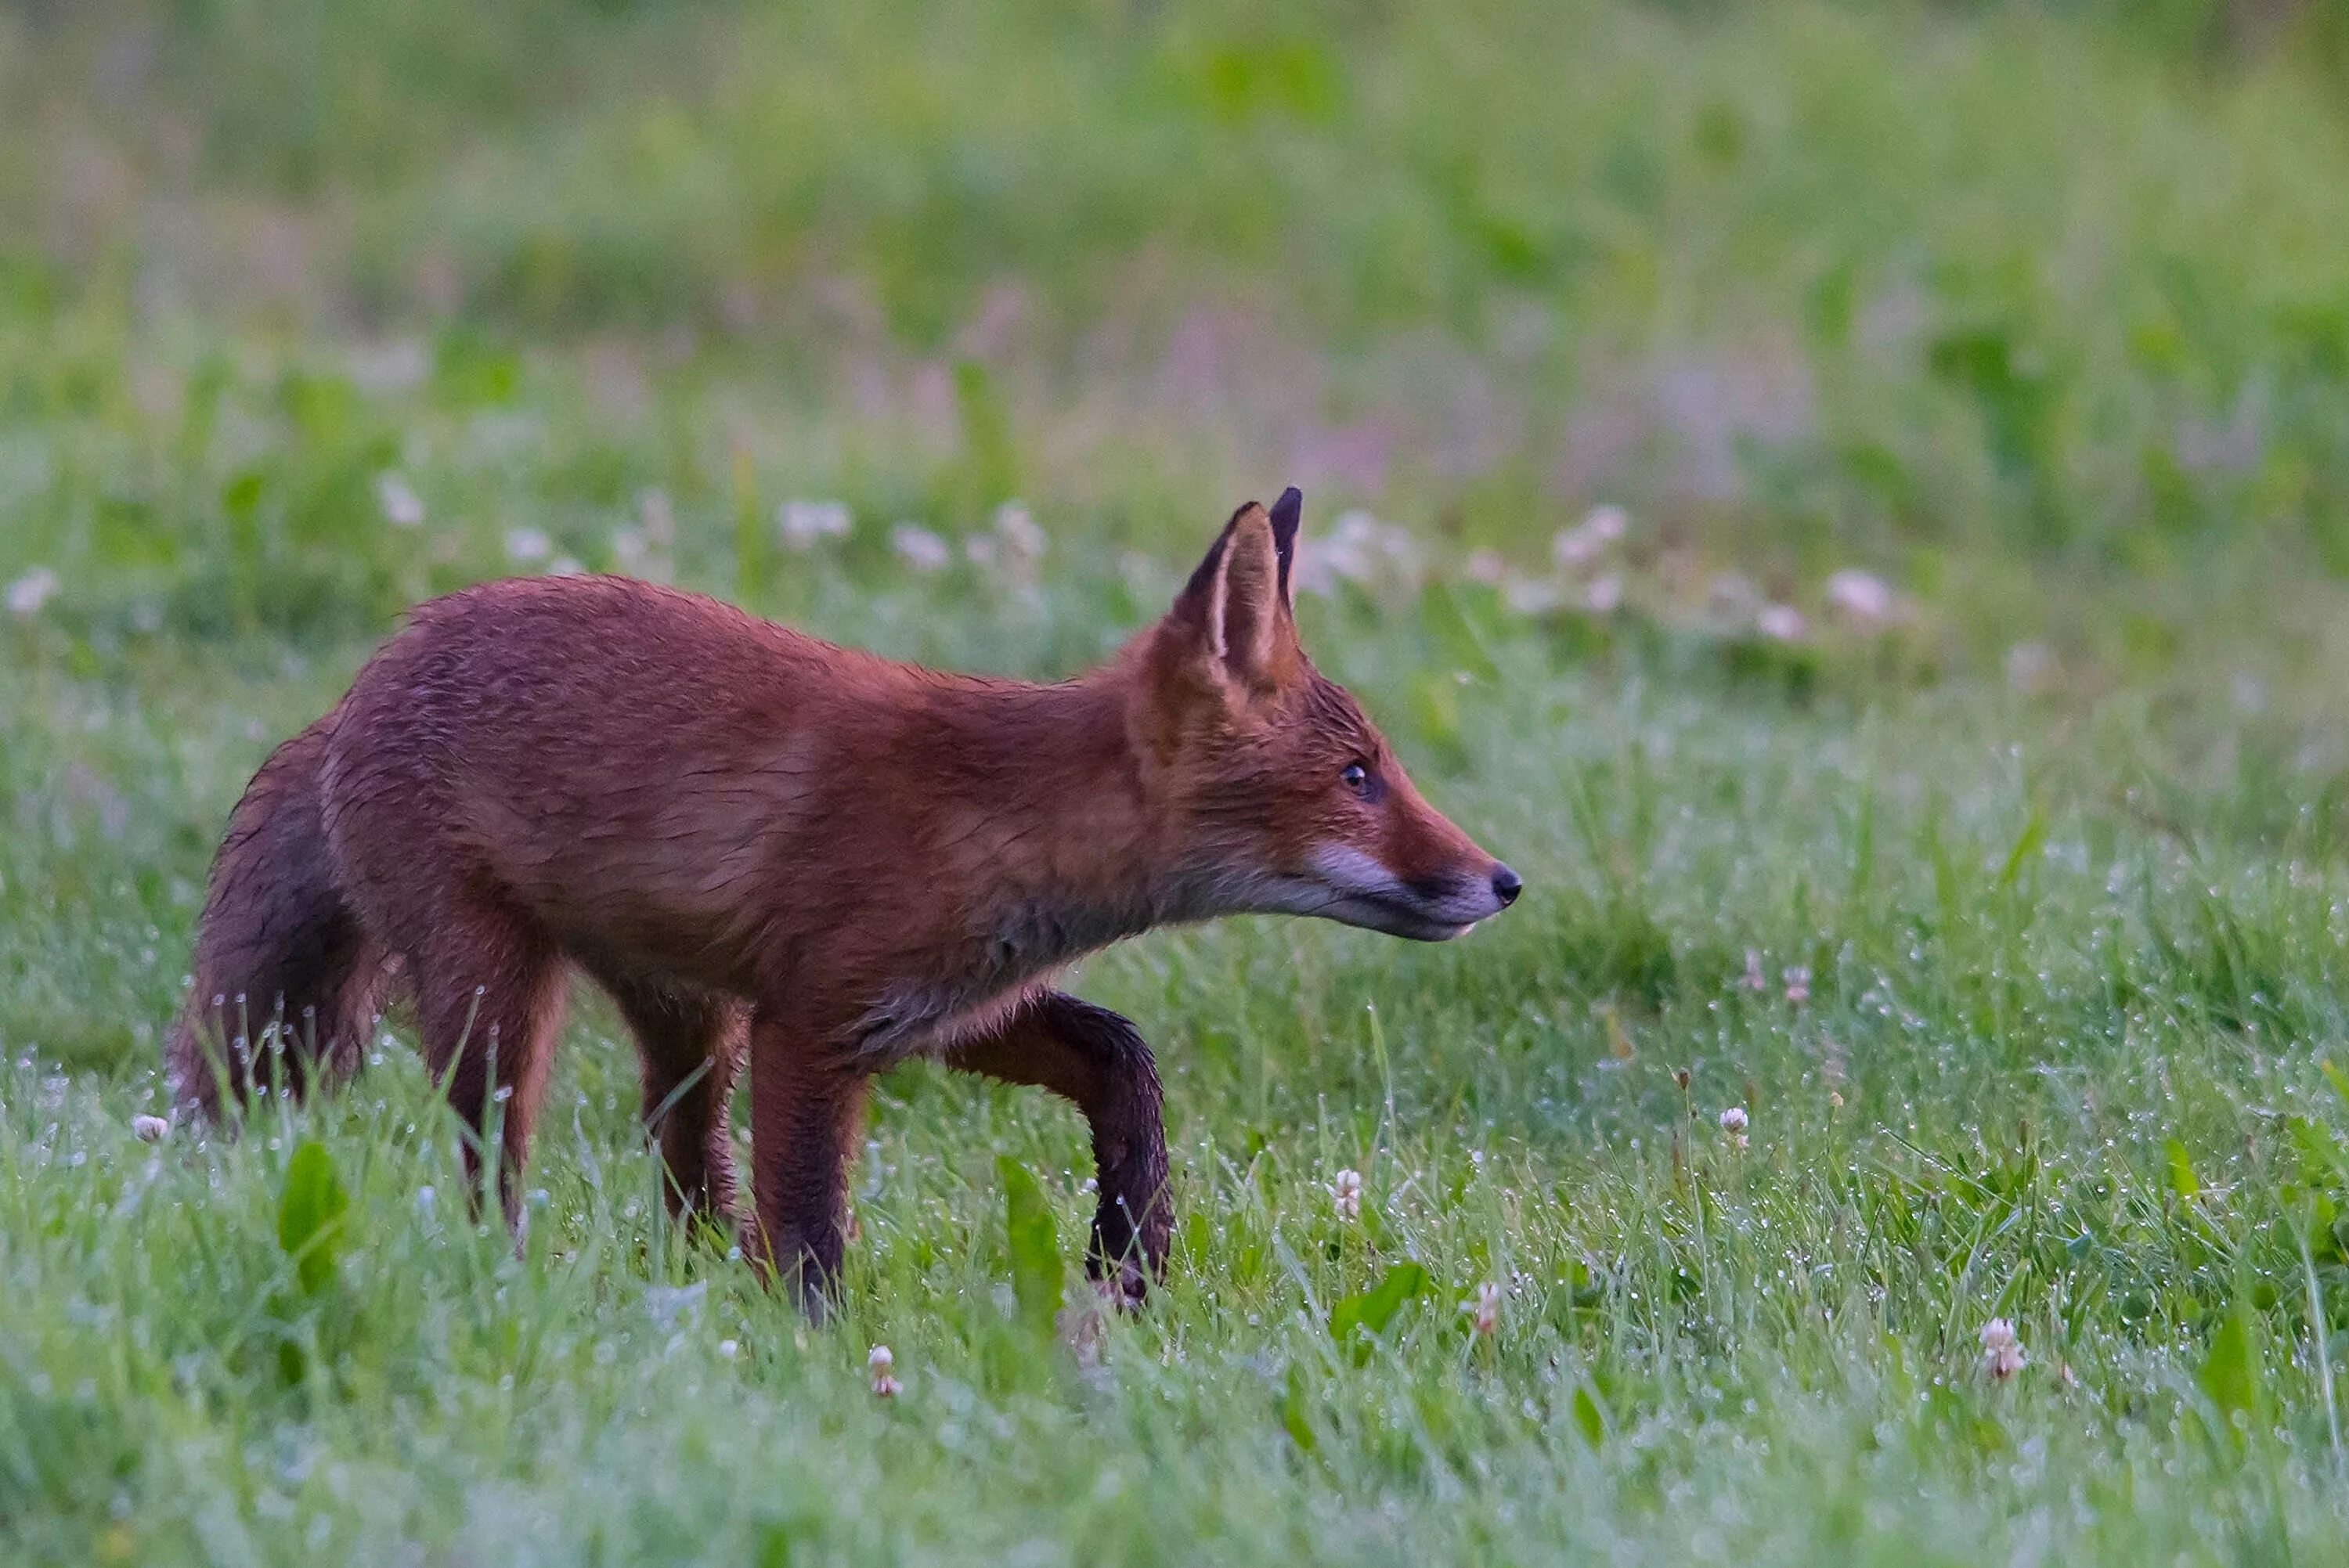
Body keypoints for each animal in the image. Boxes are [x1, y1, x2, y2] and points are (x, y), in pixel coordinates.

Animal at [170, 485, 1522, 1314]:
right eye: (1359, 778)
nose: (1504, 880)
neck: (998, 814)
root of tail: (361, 680)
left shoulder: (939, 1007)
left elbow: (1124, 1062)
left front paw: (1129, 1251)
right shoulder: (815, 1022)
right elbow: (815, 1230)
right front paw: (816, 1366)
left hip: (689, 1020)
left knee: (689, 1177)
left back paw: (691, 1285)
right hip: (501, 1006)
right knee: (490, 1175)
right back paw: (522, 1283)